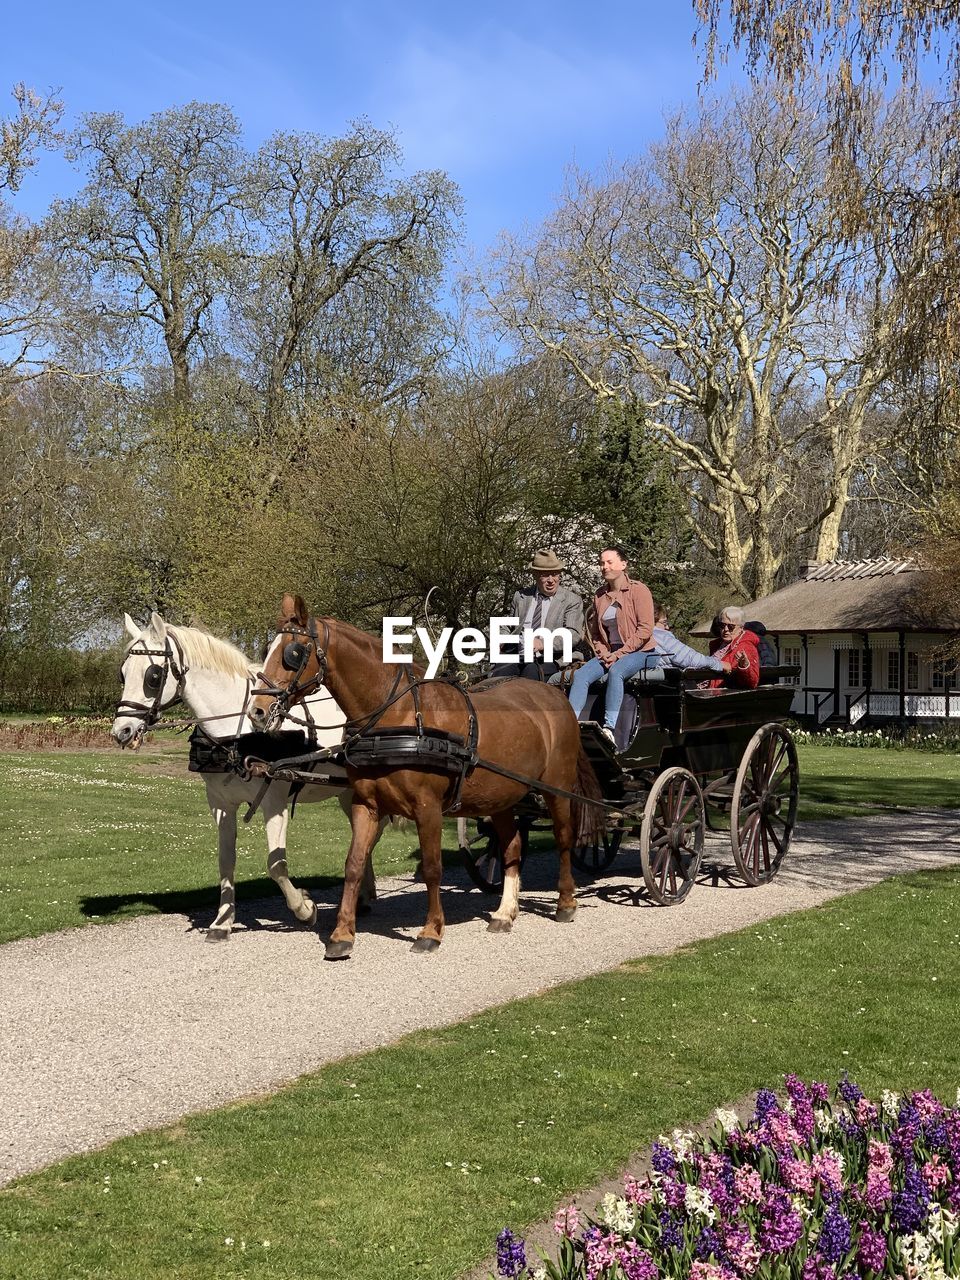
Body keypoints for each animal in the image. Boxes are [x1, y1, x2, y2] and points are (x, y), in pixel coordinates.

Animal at [110, 609, 381, 942]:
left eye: (153, 676)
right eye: (123, 674)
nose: (122, 731)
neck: (237, 732)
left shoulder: (274, 801)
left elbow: (276, 864)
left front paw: (304, 908)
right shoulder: (220, 803)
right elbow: (226, 860)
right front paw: (223, 921)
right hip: (349, 792)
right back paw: (364, 897)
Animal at [252, 593, 604, 957]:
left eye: (292, 653)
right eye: (268, 649)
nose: (258, 711)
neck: (398, 714)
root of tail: (555, 695)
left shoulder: (428, 807)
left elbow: (433, 868)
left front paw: (431, 931)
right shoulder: (366, 804)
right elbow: (353, 864)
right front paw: (342, 934)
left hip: (556, 788)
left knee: (564, 838)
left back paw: (566, 902)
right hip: (502, 798)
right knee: (512, 847)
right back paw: (505, 912)